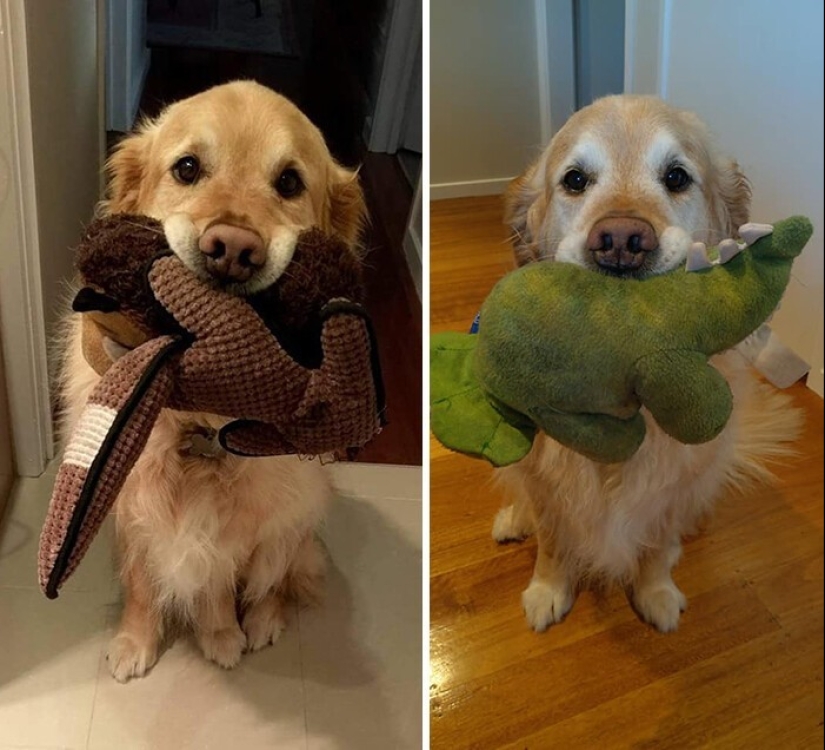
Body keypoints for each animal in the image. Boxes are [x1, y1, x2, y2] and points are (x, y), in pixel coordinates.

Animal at [58, 81, 366, 680]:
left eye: (289, 182)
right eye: (187, 168)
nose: (232, 249)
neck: (199, 421)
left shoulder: (236, 535)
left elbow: (221, 584)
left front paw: (221, 635)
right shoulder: (132, 515)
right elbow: (142, 586)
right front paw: (136, 641)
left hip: (296, 519)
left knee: (276, 580)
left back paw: (264, 621)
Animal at [492, 94, 796, 636]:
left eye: (676, 177)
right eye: (575, 180)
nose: (620, 240)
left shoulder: (675, 488)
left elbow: (655, 544)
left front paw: (655, 592)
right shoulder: (548, 486)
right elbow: (552, 539)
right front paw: (548, 589)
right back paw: (513, 519)